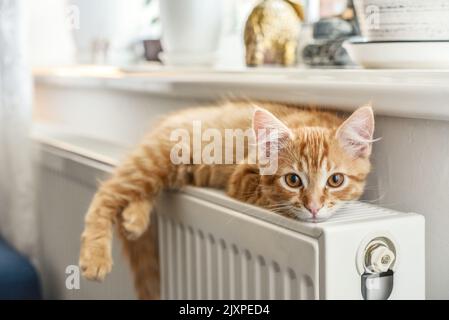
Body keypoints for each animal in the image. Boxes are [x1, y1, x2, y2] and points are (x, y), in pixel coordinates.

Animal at [79, 101, 372, 298]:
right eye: (292, 180)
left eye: (336, 180)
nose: (313, 207)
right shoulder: (241, 179)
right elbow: (270, 195)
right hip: (155, 160)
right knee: (107, 192)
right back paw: (95, 256)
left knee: (142, 191)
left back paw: (134, 218)